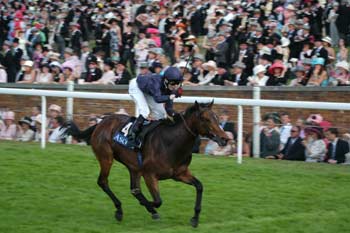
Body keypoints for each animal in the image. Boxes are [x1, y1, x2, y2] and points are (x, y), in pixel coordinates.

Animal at [67, 100, 230, 228]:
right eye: (205, 119)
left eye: (216, 118)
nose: (225, 138)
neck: (171, 143)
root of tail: (100, 123)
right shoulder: (149, 175)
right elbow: (158, 201)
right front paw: (150, 208)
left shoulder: (180, 174)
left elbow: (199, 186)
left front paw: (195, 219)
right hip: (106, 157)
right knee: (103, 182)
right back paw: (120, 210)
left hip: (133, 167)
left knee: (134, 189)